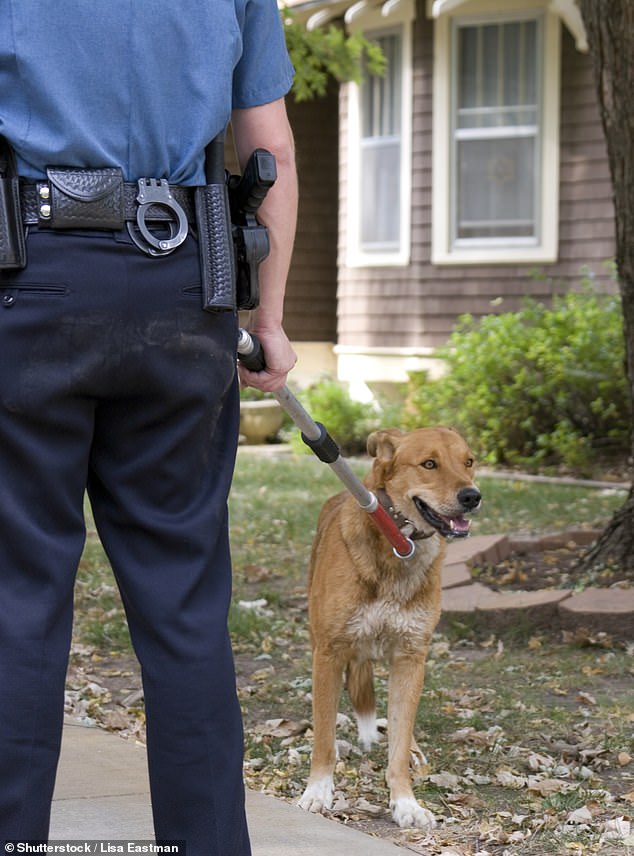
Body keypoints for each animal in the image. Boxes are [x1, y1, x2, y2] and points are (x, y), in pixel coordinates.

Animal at [298, 428, 478, 828]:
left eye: (469, 461)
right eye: (429, 464)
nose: (472, 496)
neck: (400, 543)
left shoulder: (411, 658)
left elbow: (399, 739)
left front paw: (405, 802)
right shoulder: (329, 653)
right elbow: (324, 739)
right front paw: (318, 791)